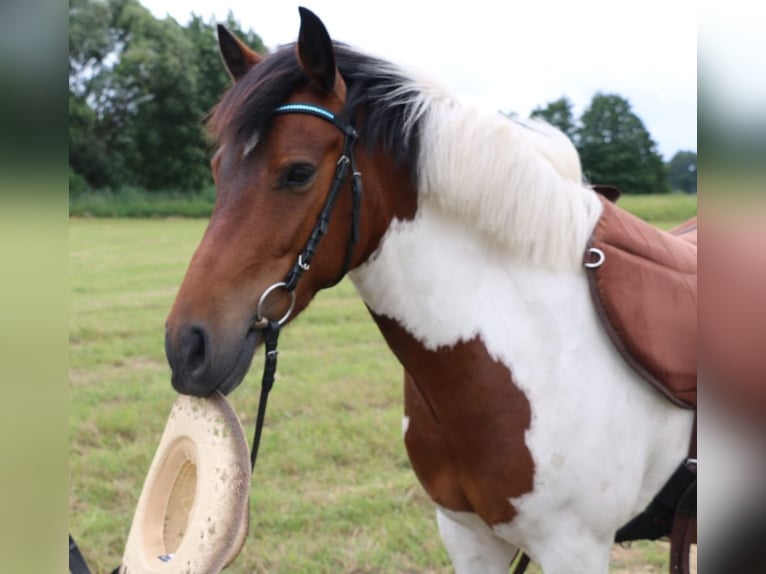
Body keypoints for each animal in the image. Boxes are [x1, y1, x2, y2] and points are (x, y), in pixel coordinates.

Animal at [165, 9, 700, 574]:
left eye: (298, 172)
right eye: (217, 171)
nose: (187, 347)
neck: (534, 351)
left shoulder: (574, 547)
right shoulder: (466, 534)